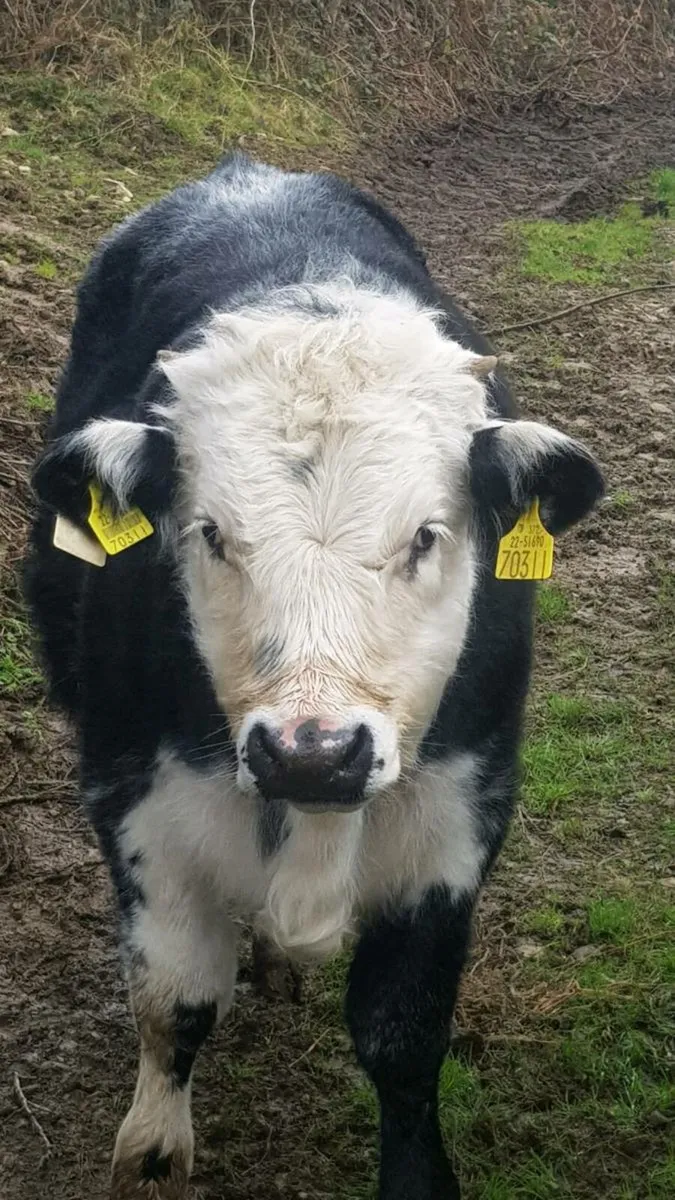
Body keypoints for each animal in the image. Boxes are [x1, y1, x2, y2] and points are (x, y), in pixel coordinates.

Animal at [24, 152, 604, 1200]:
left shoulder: (459, 818)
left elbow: (402, 1034)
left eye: (426, 536)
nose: (314, 753)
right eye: (210, 534)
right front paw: (153, 1151)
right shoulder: (133, 801)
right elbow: (174, 998)